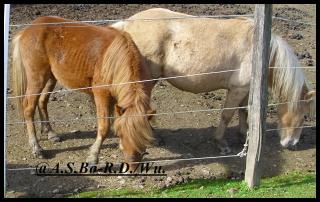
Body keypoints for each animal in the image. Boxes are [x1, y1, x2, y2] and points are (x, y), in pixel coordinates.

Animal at [12, 15, 156, 167]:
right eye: (122, 134)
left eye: (144, 138)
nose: (132, 166)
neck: (116, 58)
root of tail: (28, 28)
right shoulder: (101, 96)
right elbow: (104, 127)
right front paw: (93, 157)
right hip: (37, 79)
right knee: (28, 109)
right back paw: (36, 148)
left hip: (51, 77)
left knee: (42, 101)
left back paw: (50, 133)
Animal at [112, 7, 316, 153]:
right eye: (305, 115)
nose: (291, 143)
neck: (258, 51)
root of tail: (127, 24)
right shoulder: (237, 90)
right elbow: (227, 115)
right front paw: (221, 143)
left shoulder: (245, 90)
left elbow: (243, 111)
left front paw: (244, 136)